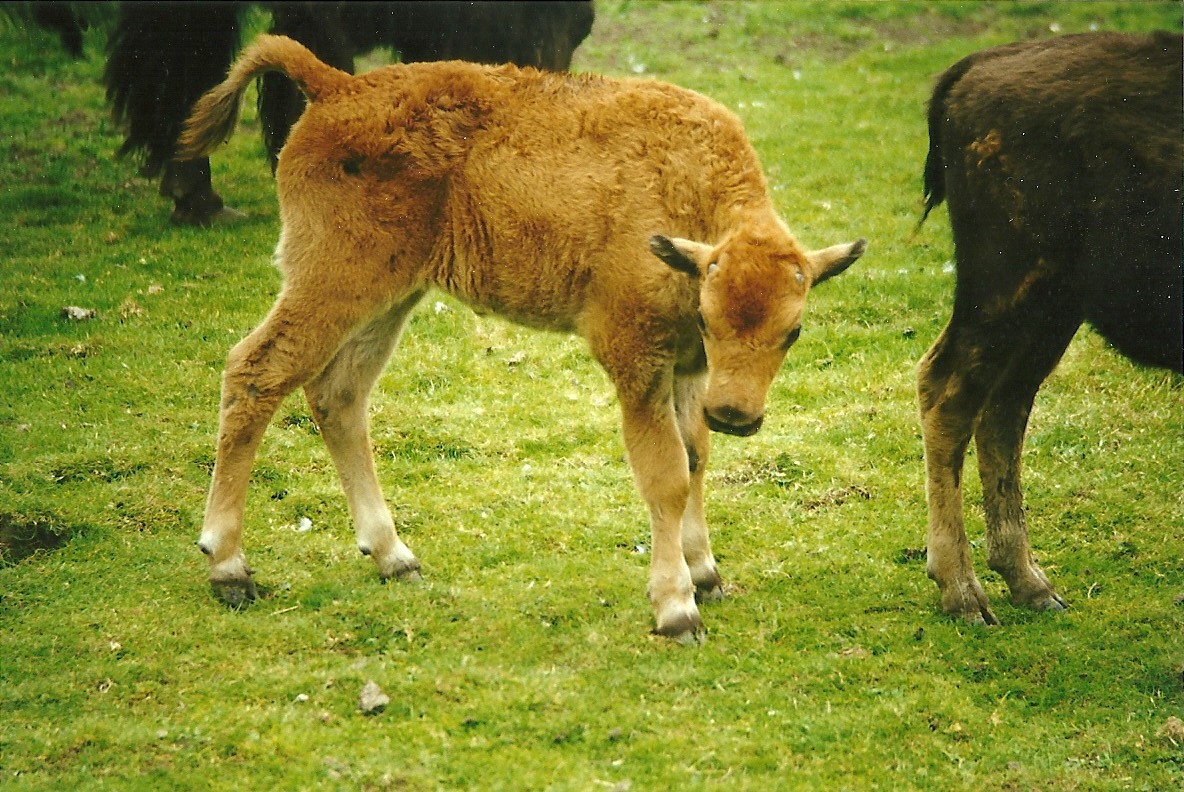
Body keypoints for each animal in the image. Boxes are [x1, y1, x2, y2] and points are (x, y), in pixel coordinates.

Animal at [177, 34, 866, 643]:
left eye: (793, 330)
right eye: (709, 318)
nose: (737, 415)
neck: (688, 188)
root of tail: (338, 85)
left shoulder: (688, 371)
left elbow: (696, 457)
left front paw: (706, 574)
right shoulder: (635, 356)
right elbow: (667, 473)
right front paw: (677, 608)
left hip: (390, 296)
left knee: (338, 395)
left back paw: (394, 556)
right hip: (333, 281)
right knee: (256, 372)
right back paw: (229, 568)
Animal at [917, 31, 1183, 625]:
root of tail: (977, 66)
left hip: (1052, 308)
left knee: (1002, 407)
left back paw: (1029, 584)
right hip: (1011, 287)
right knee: (949, 393)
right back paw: (964, 594)